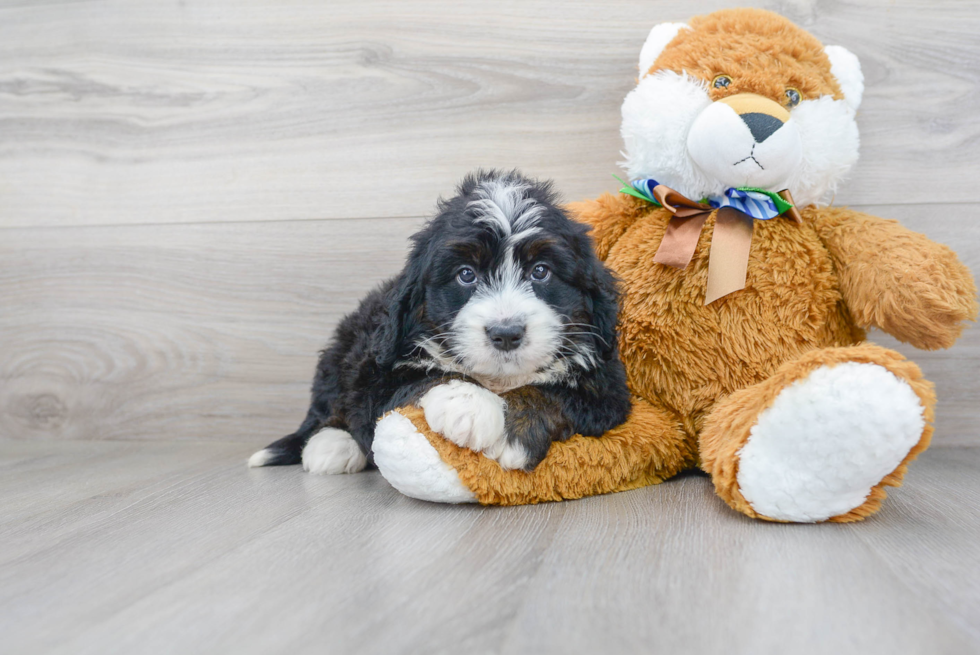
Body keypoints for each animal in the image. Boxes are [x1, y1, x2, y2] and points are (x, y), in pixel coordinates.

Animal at [249, 172, 632, 474]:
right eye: (466, 274)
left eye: (540, 271)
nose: (506, 334)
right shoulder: (374, 372)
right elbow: (422, 376)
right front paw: (467, 404)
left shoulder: (608, 388)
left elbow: (555, 393)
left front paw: (514, 434)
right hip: (340, 354)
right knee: (327, 410)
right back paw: (330, 445)